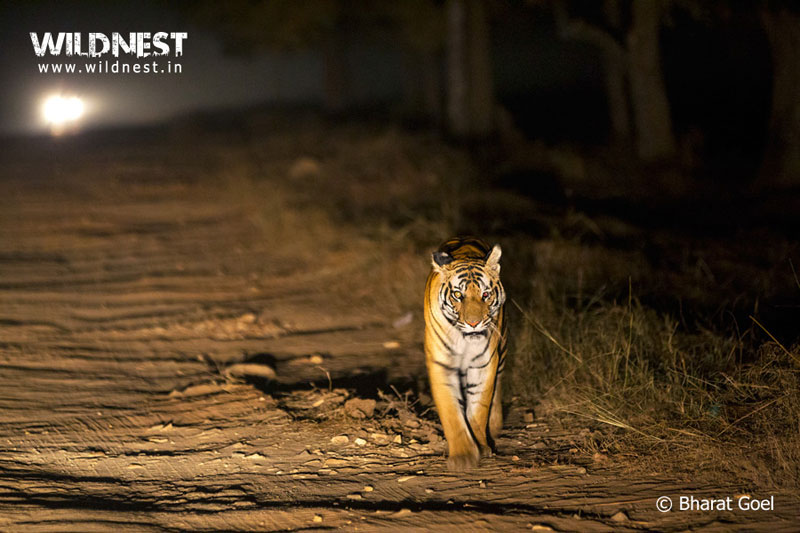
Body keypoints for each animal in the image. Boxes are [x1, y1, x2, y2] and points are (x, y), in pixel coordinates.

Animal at [424, 236, 507, 470]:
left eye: (485, 294)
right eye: (458, 295)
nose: (473, 323)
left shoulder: (484, 364)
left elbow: (478, 410)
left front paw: (482, 447)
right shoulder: (442, 364)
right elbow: (451, 411)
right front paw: (463, 456)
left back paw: (494, 427)